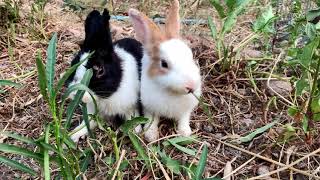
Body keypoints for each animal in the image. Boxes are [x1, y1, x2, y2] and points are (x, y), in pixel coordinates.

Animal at [65, 8, 143, 143]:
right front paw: (73, 135)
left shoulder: (131, 106)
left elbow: (133, 118)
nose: (75, 93)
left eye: (100, 70)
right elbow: (89, 121)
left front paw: (136, 131)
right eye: (74, 62)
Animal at [129, 0, 201, 142]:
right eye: (164, 64)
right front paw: (150, 135)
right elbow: (152, 120)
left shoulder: (186, 110)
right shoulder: (149, 108)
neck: (171, 91)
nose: (191, 86)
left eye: (190, 55)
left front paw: (185, 133)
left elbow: (184, 119)